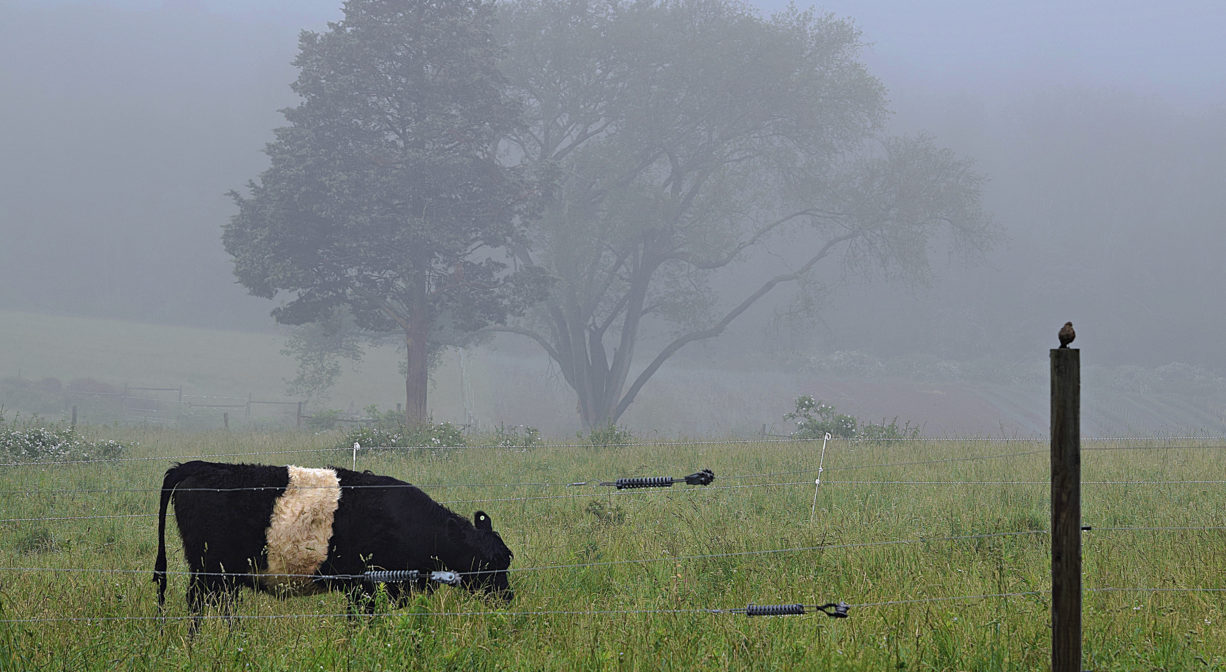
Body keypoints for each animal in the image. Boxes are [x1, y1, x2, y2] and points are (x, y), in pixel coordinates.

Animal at [152, 461, 512, 625]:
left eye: (506, 558)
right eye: (490, 561)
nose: (507, 597)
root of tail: (198, 466)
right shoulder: (365, 585)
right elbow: (360, 621)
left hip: (225, 573)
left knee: (223, 605)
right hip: (208, 568)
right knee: (198, 604)